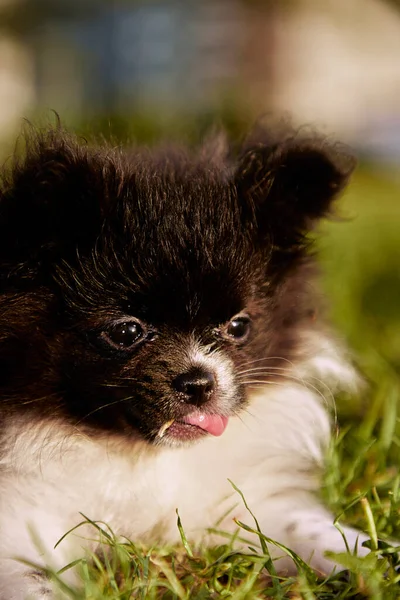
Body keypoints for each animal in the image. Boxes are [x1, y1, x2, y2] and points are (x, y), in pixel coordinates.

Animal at [0, 124, 368, 596]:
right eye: (126, 332)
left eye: (239, 326)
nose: (199, 383)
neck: (142, 457)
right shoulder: (22, 520)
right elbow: (32, 580)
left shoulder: (238, 506)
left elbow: (310, 531)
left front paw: (372, 558)